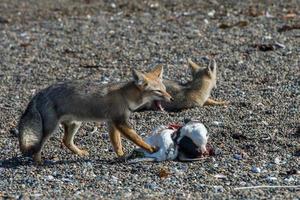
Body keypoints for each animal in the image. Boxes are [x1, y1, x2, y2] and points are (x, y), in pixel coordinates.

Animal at [18, 65, 173, 163]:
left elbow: (117, 144)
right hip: (51, 128)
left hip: (75, 123)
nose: (171, 99)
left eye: (165, 90)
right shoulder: (120, 122)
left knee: (66, 141)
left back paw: (79, 153)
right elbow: (137, 138)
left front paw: (121, 156)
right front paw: (150, 148)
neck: (124, 96)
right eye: (159, 91)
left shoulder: (112, 123)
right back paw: (38, 161)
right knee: (39, 145)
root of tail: (40, 92)